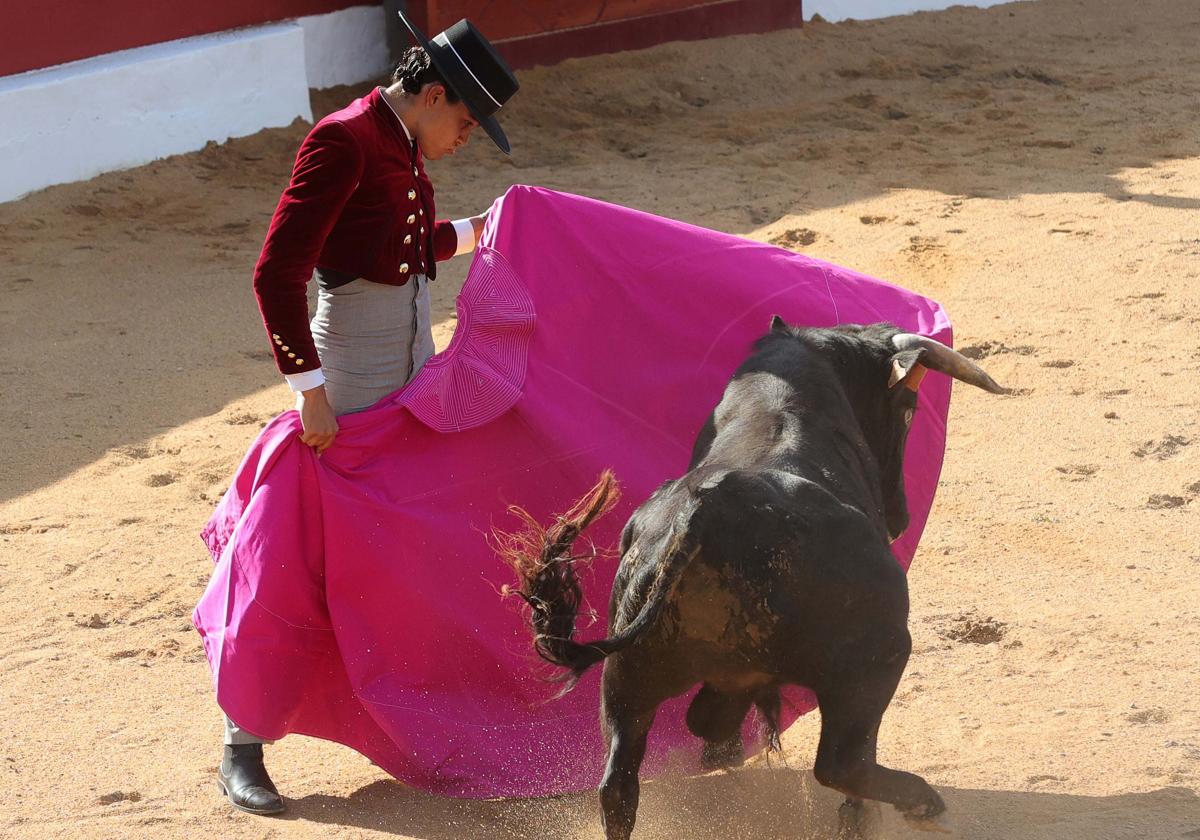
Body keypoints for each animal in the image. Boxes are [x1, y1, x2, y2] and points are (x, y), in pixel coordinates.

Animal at [496, 319, 1003, 835]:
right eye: (908, 412)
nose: (900, 516)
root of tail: (706, 511)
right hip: (879, 655)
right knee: (842, 762)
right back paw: (914, 804)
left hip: (626, 676)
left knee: (623, 782)